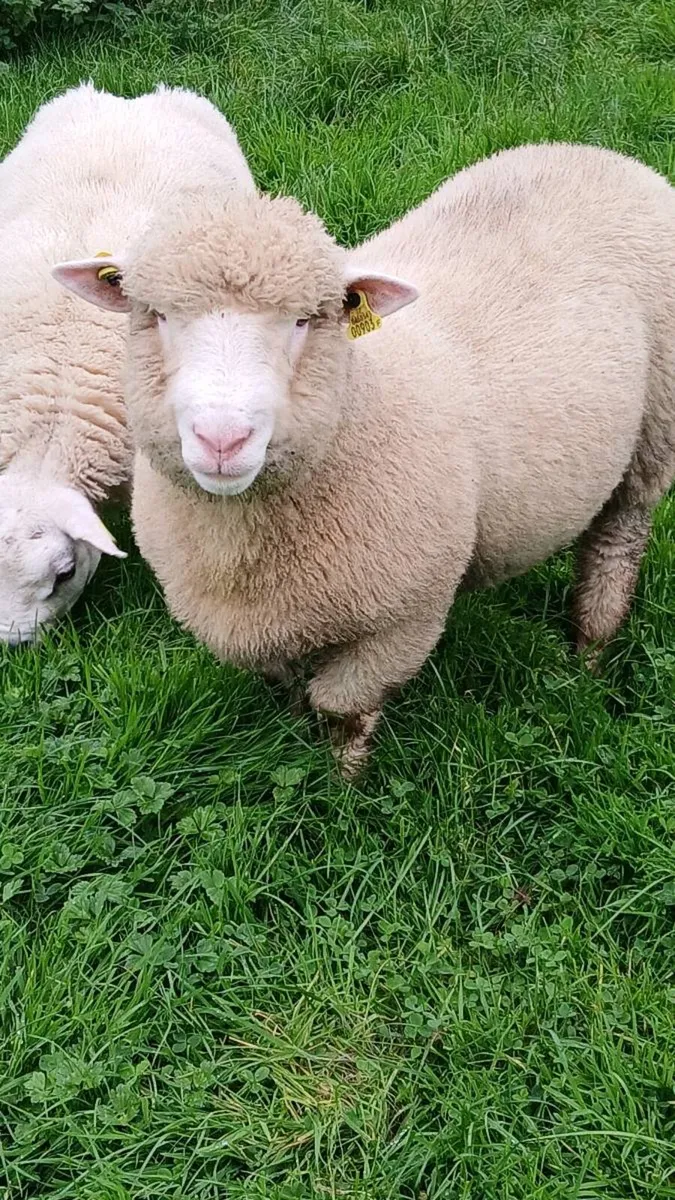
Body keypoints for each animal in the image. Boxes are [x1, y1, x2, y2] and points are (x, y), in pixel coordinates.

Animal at [54, 142, 675, 773]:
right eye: (154, 315)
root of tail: (597, 154)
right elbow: (291, 691)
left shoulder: (402, 621)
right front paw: (298, 743)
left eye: (305, 319)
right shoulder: (267, 624)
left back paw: (589, 655)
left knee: (615, 544)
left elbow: (342, 710)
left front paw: (344, 783)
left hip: (653, 433)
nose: (222, 439)